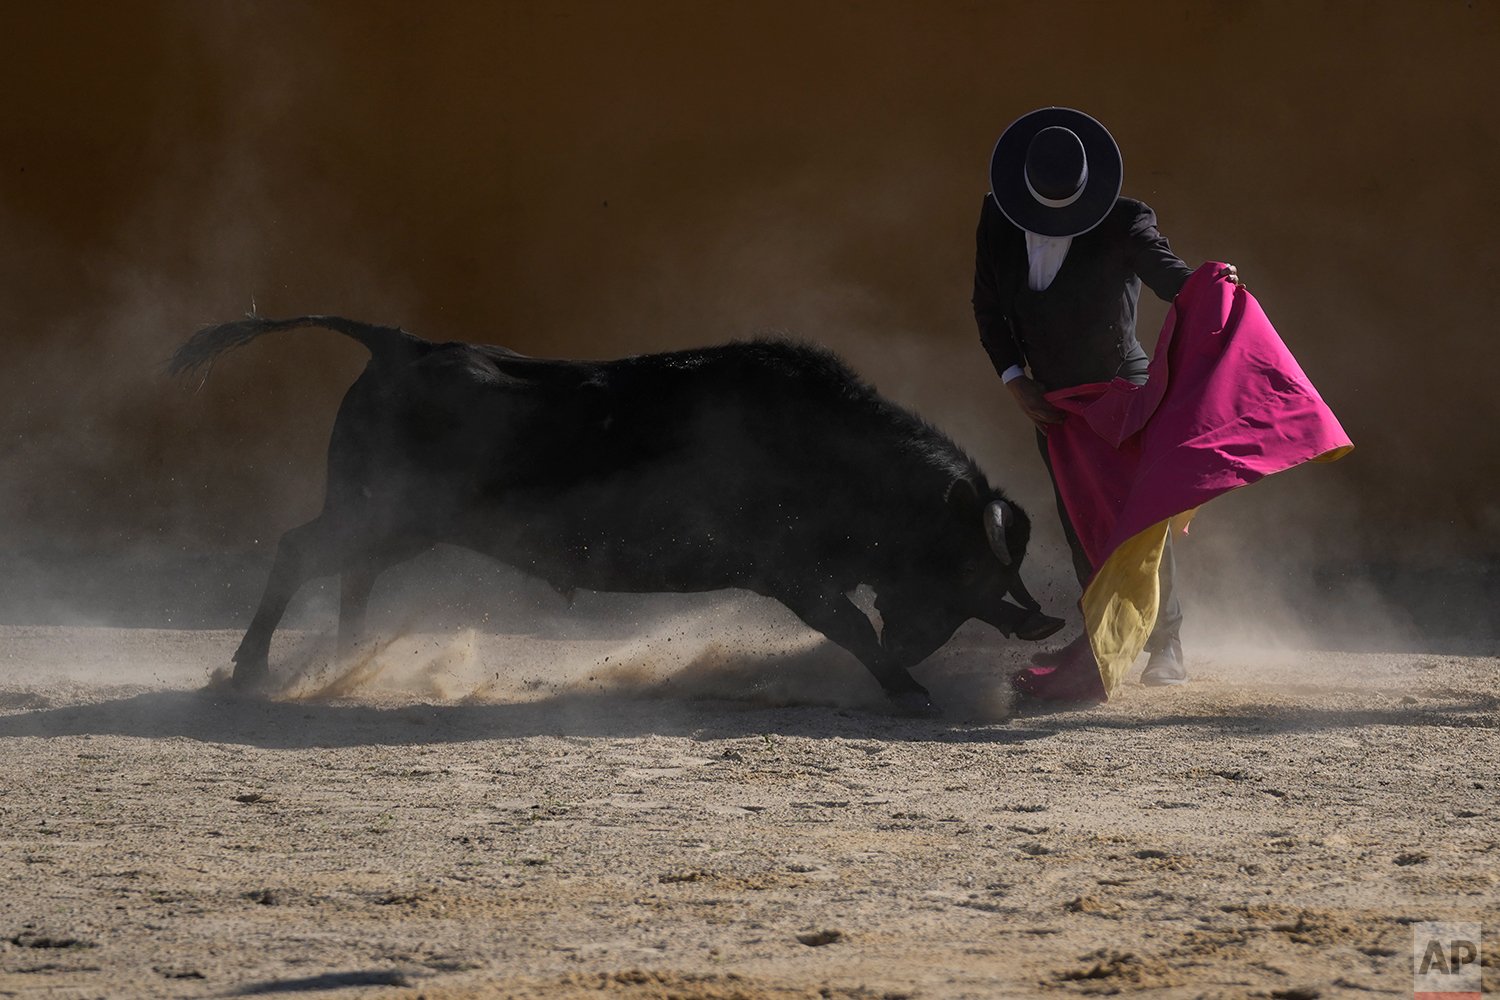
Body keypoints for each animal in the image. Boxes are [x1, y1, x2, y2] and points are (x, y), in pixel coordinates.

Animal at [167, 316, 1068, 716]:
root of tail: (402, 345)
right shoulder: (792, 572)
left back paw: (344, 664)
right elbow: (847, 626)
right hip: (385, 514)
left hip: (395, 523)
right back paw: (251, 671)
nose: (1032, 622)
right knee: (300, 551)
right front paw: (908, 688)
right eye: (962, 559)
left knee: (349, 575)